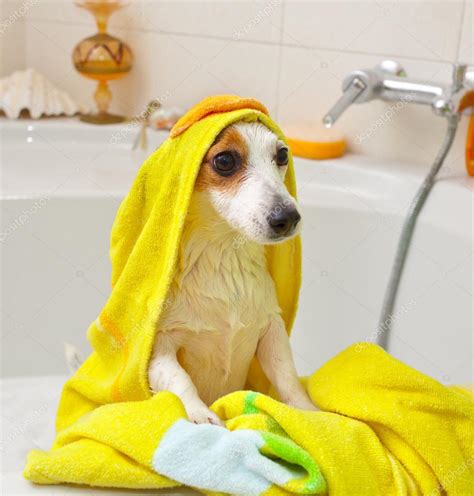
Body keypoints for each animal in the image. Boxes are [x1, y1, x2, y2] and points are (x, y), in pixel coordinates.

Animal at [148, 122, 316, 424]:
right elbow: (180, 379)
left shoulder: (272, 329)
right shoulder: (160, 349)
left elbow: (287, 376)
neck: (224, 258)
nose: (287, 218)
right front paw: (200, 414)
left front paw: (306, 411)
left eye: (282, 154)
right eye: (224, 161)